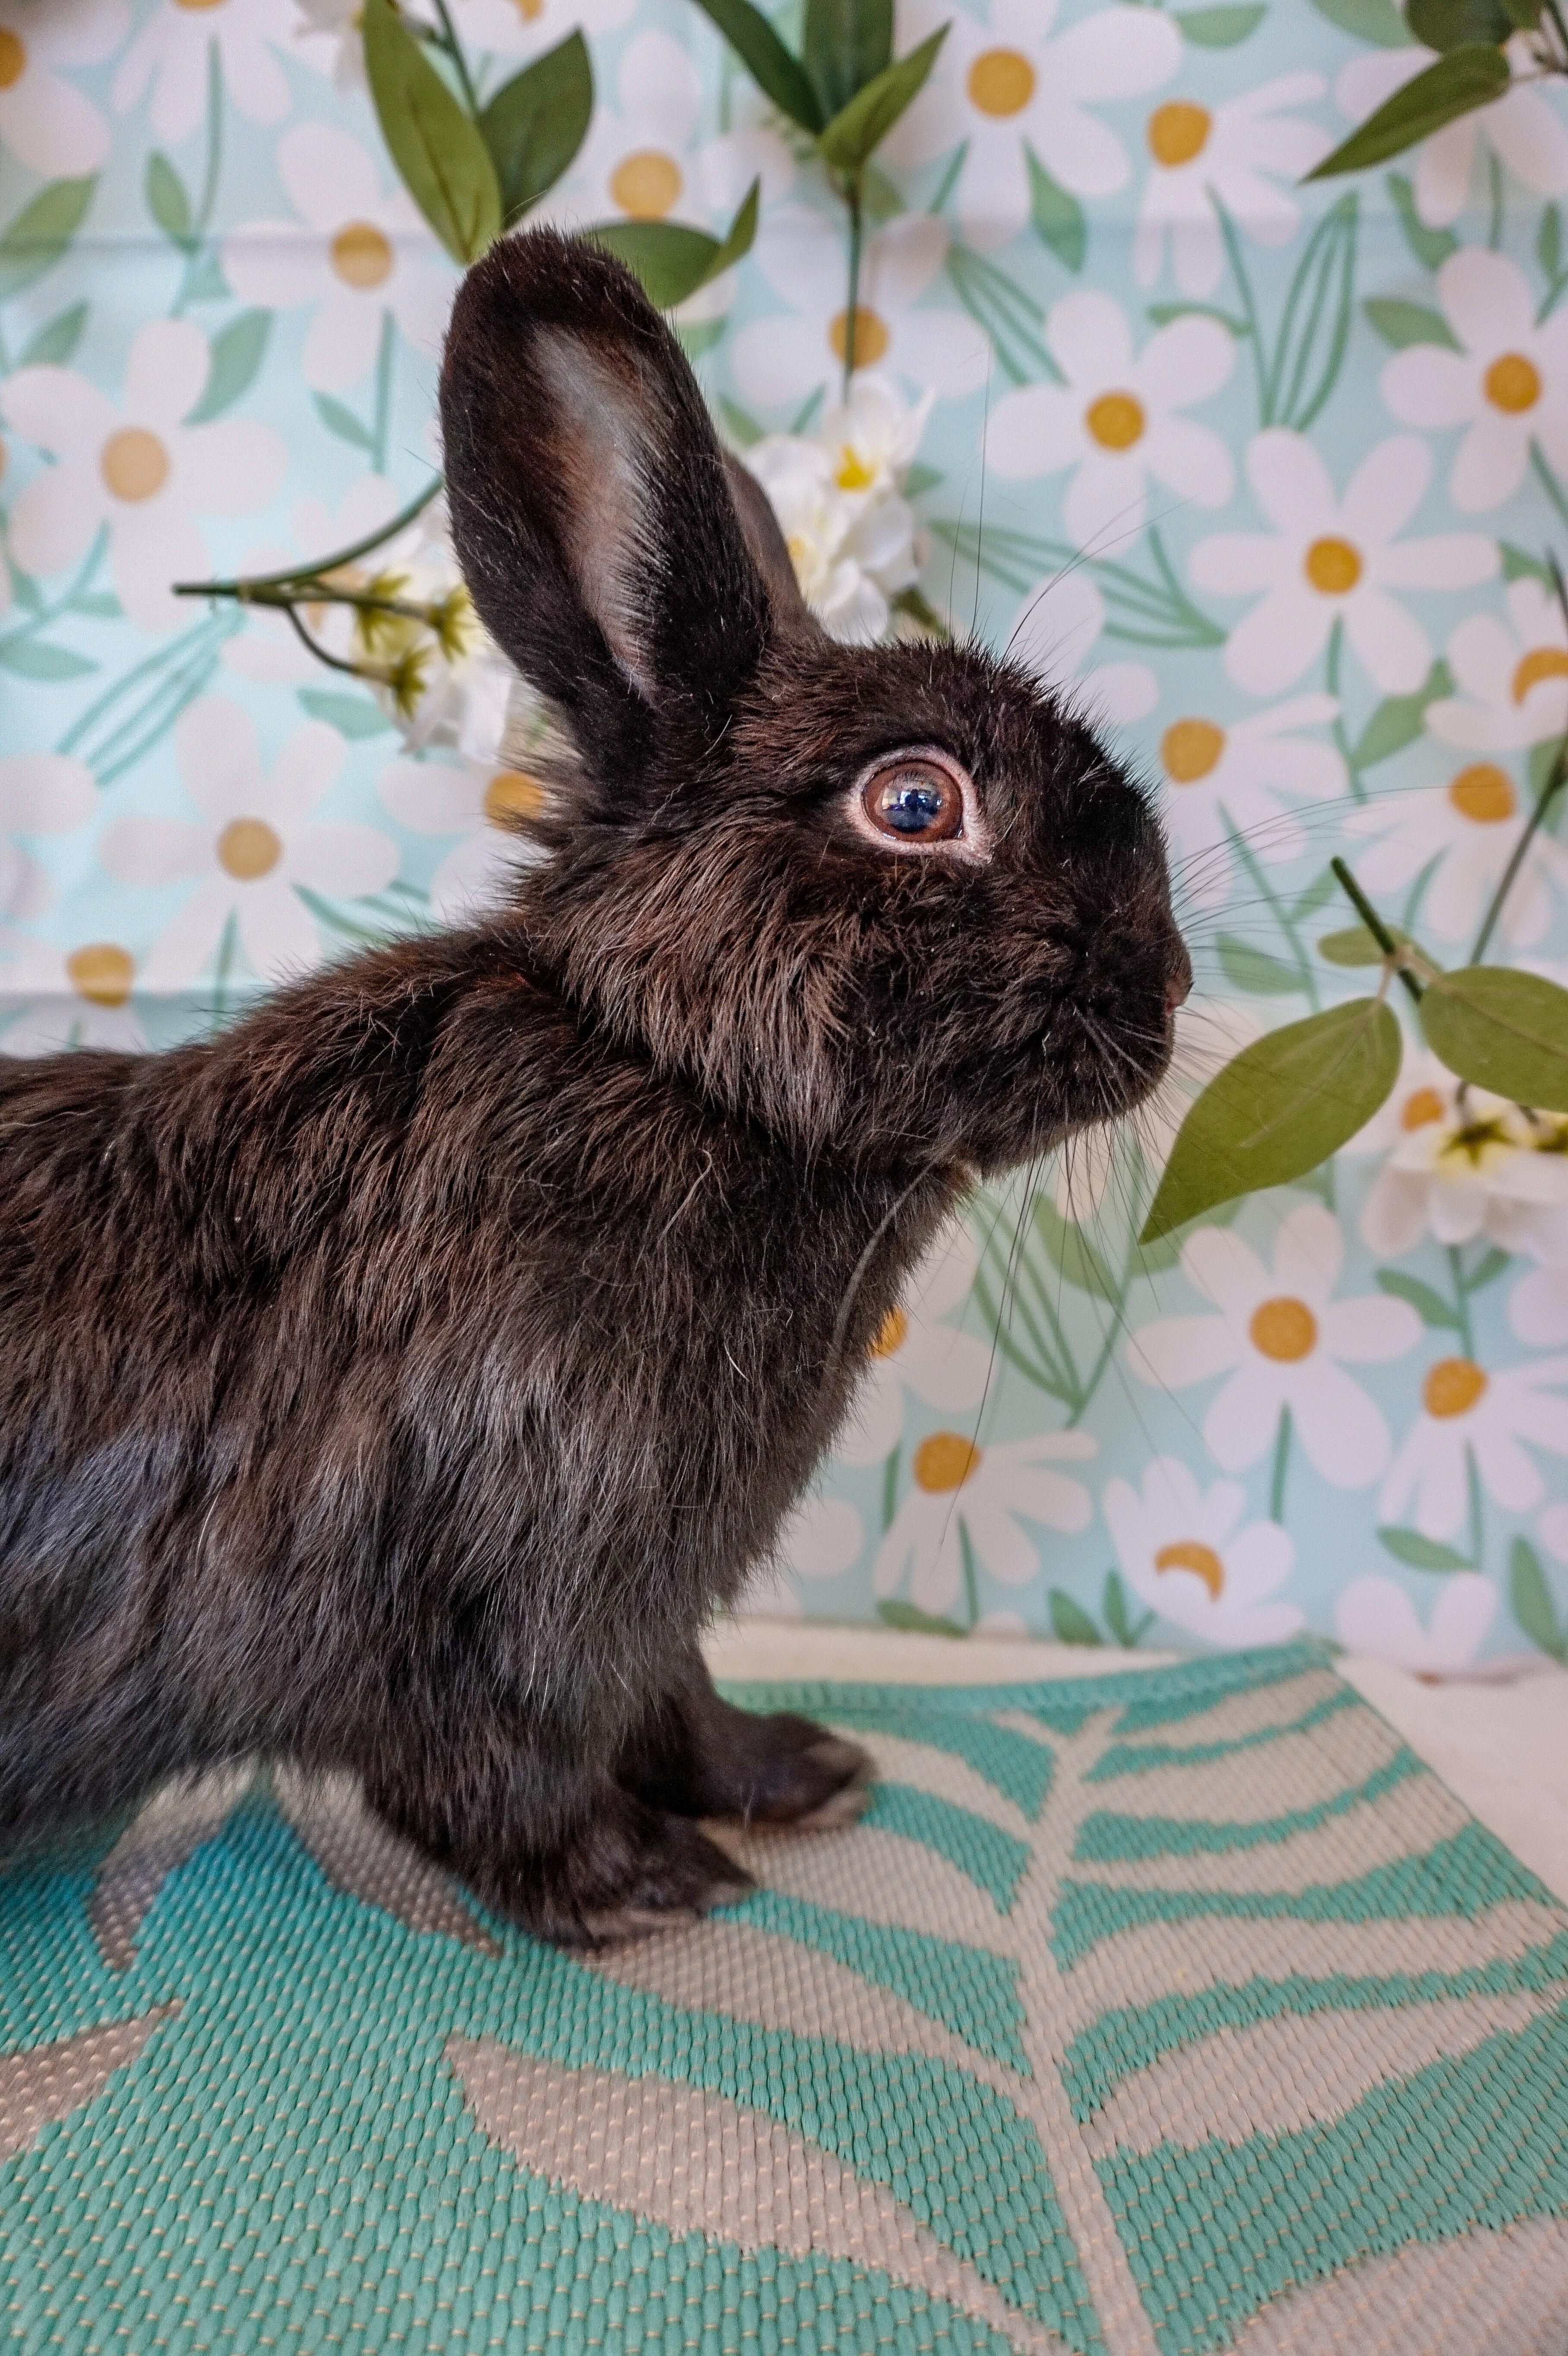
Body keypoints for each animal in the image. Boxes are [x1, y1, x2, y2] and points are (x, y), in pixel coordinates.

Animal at [0, 229, 1190, 1946]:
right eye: (915, 803)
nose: (1165, 988)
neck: (669, 1070)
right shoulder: (496, 1591)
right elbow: (498, 1769)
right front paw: (644, 1887)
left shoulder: (645, 1602)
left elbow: (673, 1702)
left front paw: (794, 1774)